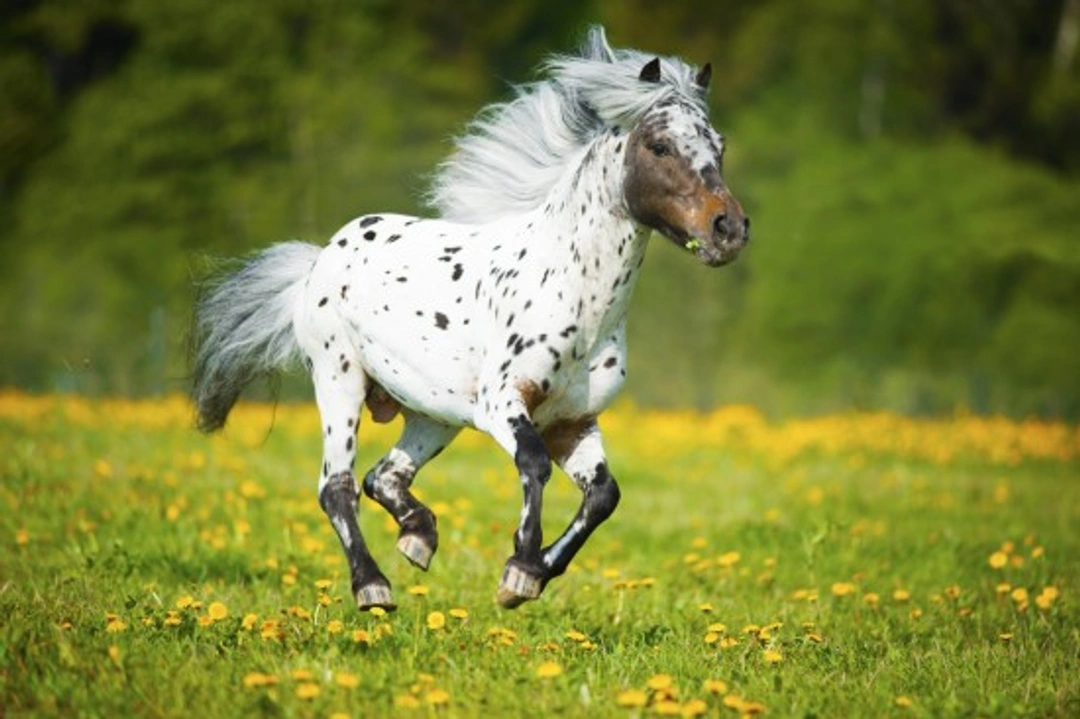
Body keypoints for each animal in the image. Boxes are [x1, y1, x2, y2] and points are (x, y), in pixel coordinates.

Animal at [190, 26, 749, 611]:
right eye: (659, 146)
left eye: (719, 146)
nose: (728, 229)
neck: (576, 299)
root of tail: (321, 258)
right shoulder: (503, 403)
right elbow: (533, 464)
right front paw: (520, 569)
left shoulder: (573, 421)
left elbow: (604, 495)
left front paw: (533, 573)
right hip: (339, 379)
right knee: (337, 487)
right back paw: (373, 586)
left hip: (433, 414)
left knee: (384, 476)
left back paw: (418, 536)